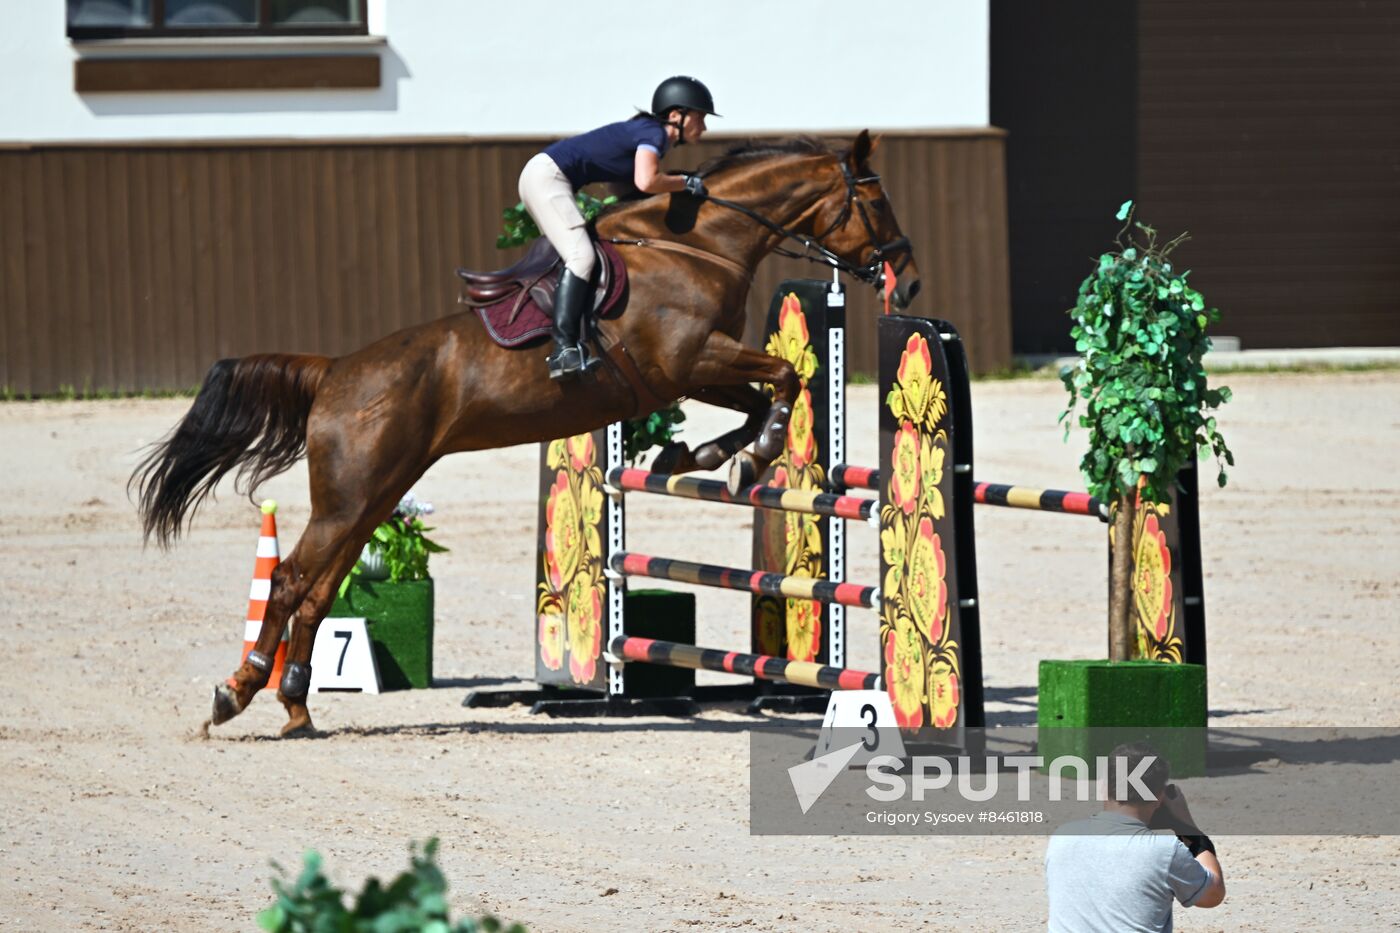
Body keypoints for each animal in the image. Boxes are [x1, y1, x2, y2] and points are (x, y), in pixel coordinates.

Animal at [128, 128, 918, 734]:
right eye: (876, 199)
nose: (906, 281)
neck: (700, 243)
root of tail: (334, 371)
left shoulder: (688, 373)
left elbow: (761, 395)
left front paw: (707, 454)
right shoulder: (688, 359)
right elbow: (784, 376)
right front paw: (751, 455)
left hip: (373, 495)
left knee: (318, 589)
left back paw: (293, 706)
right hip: (352, 495)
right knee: (292, 578)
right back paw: (237, 692)